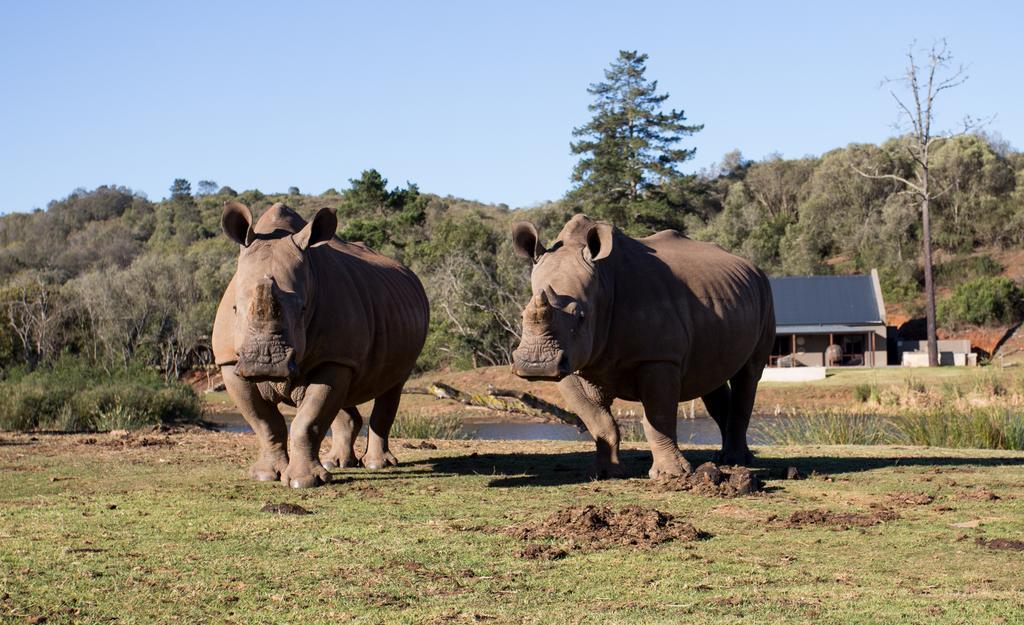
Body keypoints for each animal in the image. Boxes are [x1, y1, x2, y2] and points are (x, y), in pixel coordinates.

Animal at [512, 213, 774, 477]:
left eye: (581, 316)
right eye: (522, 315)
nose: (536, 365)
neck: (603, 282)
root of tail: (753, 268)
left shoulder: (659, 357)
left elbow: (659, 418)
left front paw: (672, 475)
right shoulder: (572, 363)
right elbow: (598, 420)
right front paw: (605, 472)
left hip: (765, 294)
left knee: (748, 374)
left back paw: (735, 461)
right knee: (711, 376)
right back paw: (725, 459)